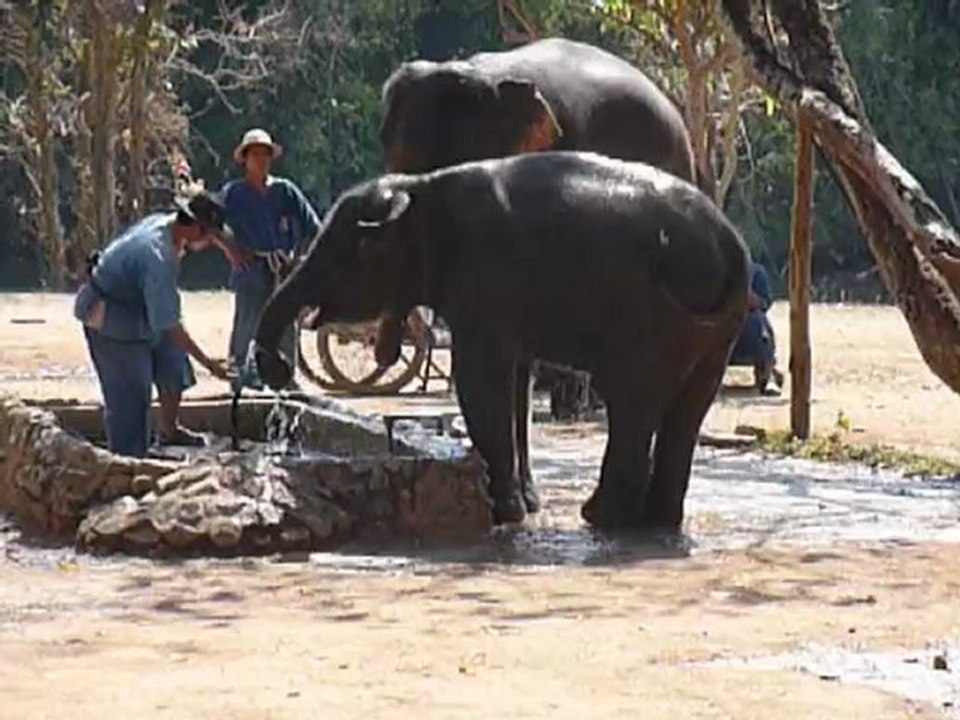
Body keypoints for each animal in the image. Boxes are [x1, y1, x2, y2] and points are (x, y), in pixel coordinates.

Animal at [253, 152, 749, 530]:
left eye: (347, 251)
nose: (279, 371)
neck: (422, 186)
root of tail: (732, 250)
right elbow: (514, 384)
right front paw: (525, 507)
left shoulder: (484, 279)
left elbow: (481, 380)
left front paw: (504, 514)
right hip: (718, 333)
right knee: (687, 410)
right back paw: (656, 522)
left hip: (653, 319)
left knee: (632, 402)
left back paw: (601, 518)